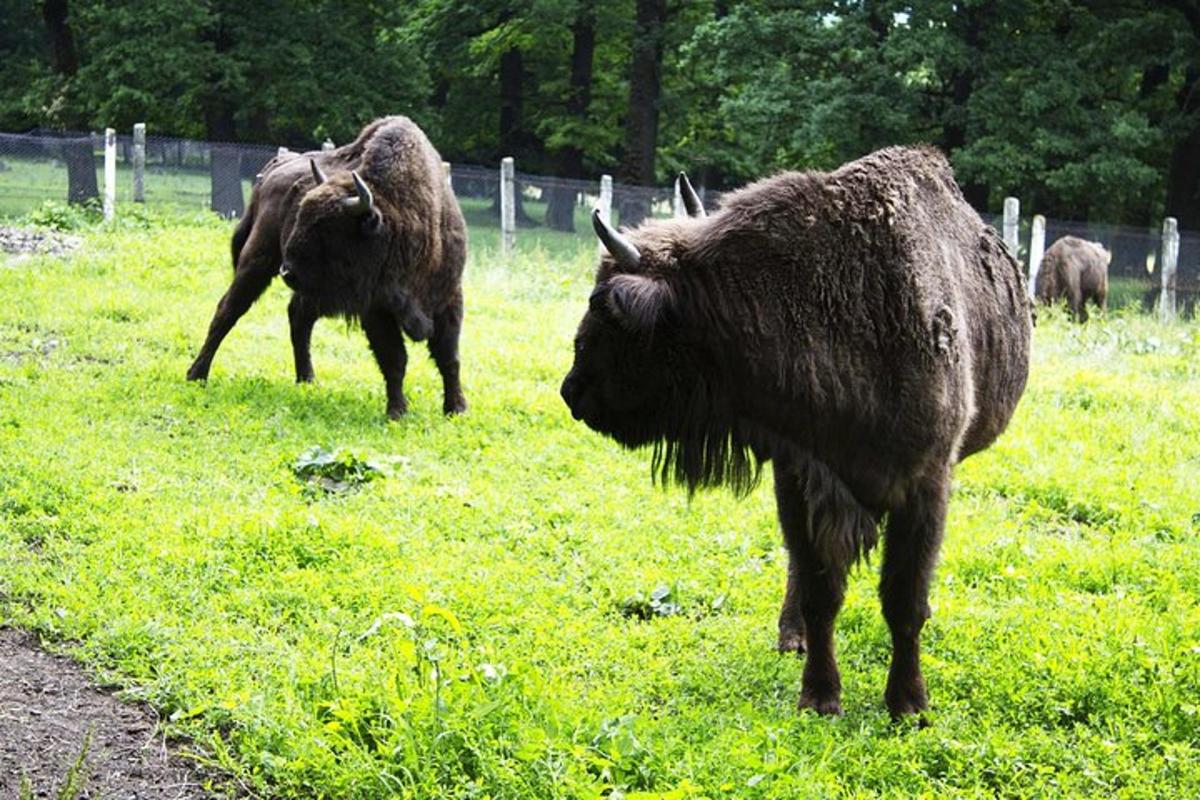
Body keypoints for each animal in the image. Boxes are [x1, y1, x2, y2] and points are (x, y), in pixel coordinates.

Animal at [184, 118, 465, 422]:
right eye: (301, 216)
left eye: (328, 230)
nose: (288, 271)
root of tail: (274, 169)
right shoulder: (376, 311)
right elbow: (395, 359)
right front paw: (397, 411)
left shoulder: (449, 299)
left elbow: (449, 357)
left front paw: (456, 408)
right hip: (257, 261)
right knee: (228, 311)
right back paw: (197, 374)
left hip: (313, 290)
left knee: (298, 316)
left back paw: (307, 379)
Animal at [561, 145, 1032, 719]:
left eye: (604, 305)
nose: (571, 391)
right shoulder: (802, 473)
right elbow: (819, 590)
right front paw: (820, 695)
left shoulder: (925, 485)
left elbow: (904, 600)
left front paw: (908, 703)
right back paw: (792, 635)